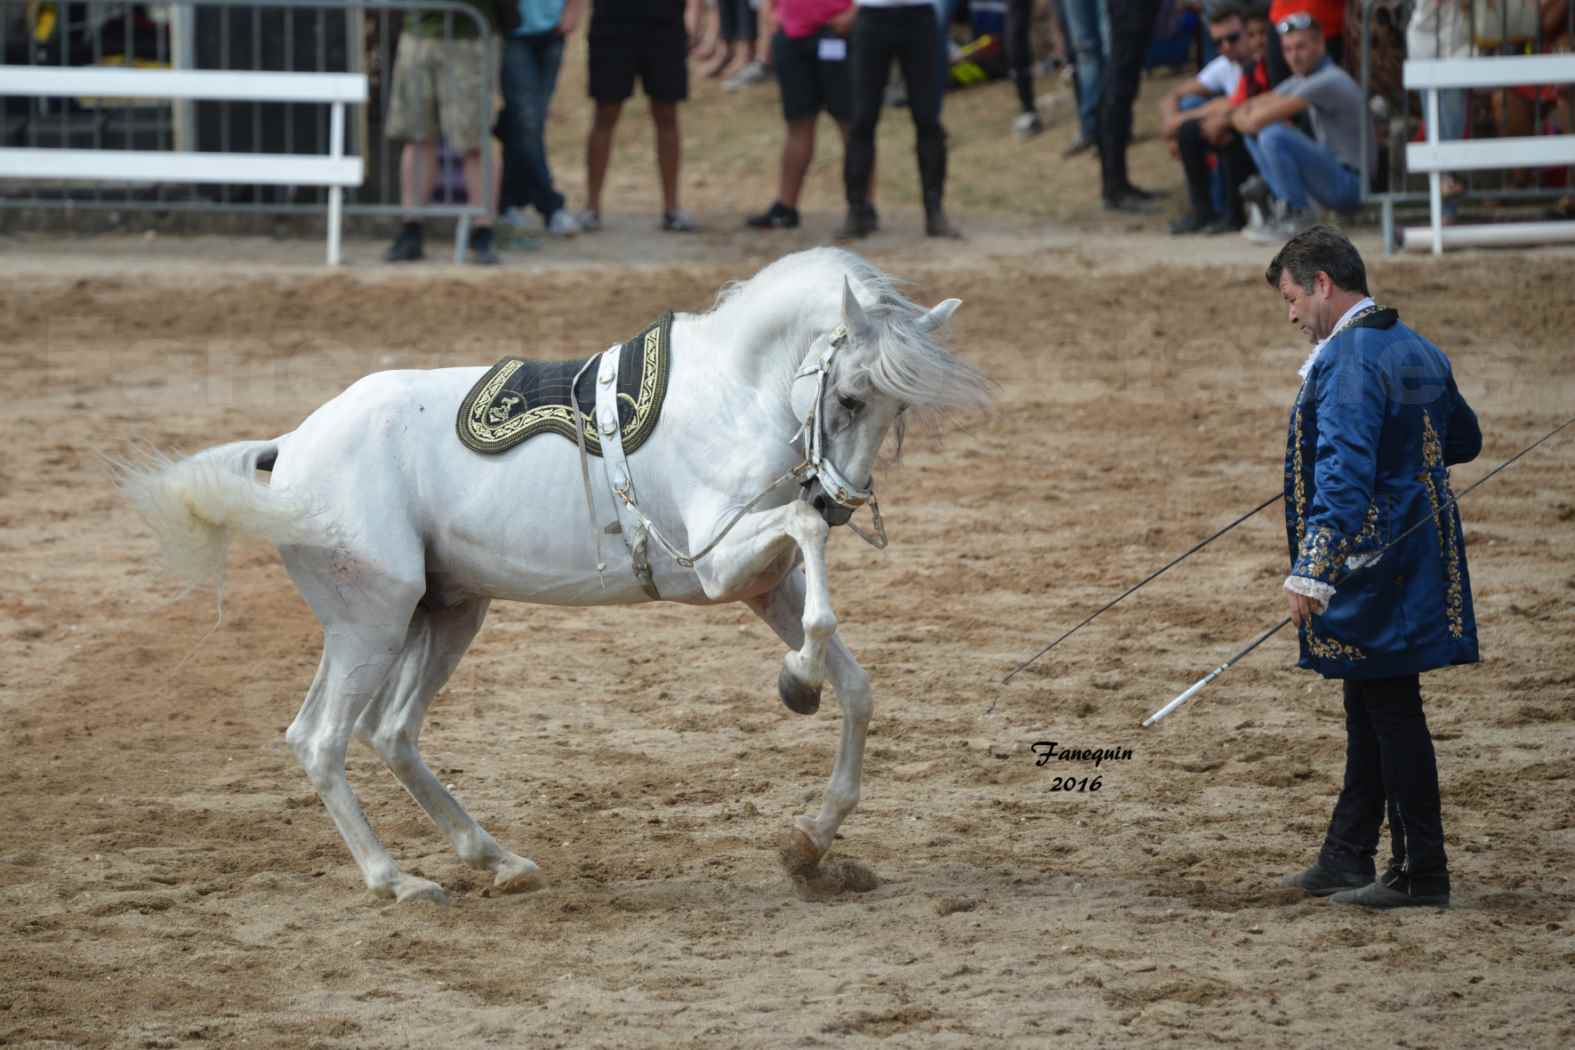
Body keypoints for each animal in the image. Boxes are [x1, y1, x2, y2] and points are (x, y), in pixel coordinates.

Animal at [126, 248, 982, 906]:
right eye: (850, 397)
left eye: (897, 413)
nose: (839, 502)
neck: (731, 396)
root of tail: (290, 448)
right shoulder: (717, 563)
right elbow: (808, 568)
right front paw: (796, 682)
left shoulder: (762, 582)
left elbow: (855, 685)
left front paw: (809, 841)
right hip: (369, 621)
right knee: (321, 739)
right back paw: (397, 881)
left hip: (444, 614)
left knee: (390, 732)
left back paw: (497, 859)